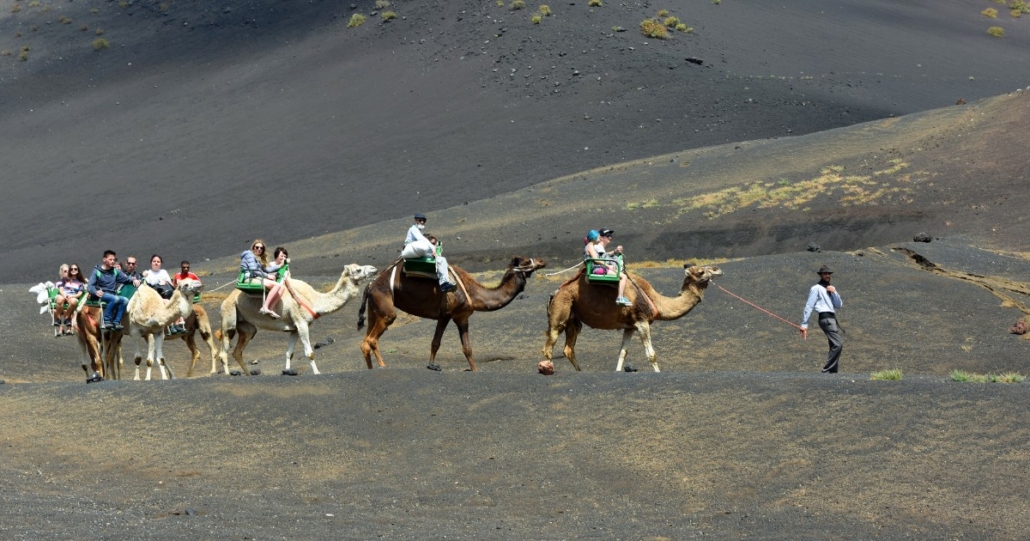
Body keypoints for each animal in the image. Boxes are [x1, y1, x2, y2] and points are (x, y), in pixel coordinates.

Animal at [218, 264, 378, 376]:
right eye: (358, 270)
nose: (374, 269)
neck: (314, 300)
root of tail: (226, 300)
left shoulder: (294, 328)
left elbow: (289, 352)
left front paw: (287, 371)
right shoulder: (301, 323)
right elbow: (310, 353)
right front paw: (317, 372)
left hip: (247, 327)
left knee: (238, 351)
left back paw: (248, 375)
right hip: (229, 318)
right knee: (223, 351)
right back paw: (227, 375)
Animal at [358, 256, 547, 371]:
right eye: (526, 260)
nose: (542, 261)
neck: (472, 292)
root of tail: (370, 285)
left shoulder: (462, 317)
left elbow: (467, 348)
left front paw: (475, 369)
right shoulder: (445, 314)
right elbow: (435, 342)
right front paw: (432, 365)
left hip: (374, 308)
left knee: (365, 340)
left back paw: (371, 368)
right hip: (385, 305)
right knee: (372, 338)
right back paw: (383, 366)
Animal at [542, 264, 723, 372]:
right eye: (700, 271)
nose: (718, 269)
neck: (655, 300)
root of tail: (554, 293)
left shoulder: (629, 326)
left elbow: (623, 352)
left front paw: (617, 371)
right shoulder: (642, 322)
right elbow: (651, 354)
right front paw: (658, 373)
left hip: (574, 319)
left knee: (568, 349)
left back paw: (579, 371)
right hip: (561, 310)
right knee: (549, 344)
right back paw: (548, 369)